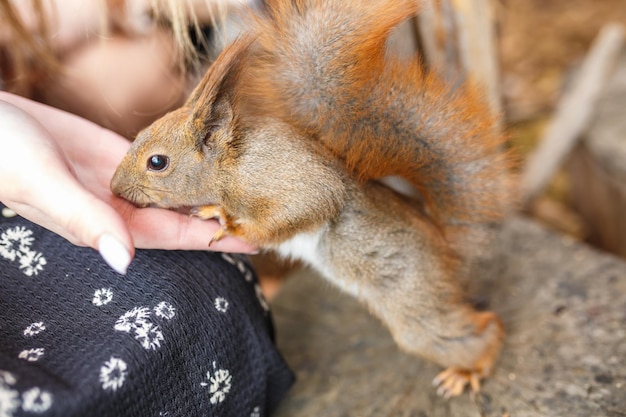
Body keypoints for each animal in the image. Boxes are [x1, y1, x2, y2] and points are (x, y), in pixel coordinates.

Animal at [109, 0, 516, 396]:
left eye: (157, 162)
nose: (114, 187)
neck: (231, 166)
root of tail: (447, 250)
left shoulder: (290, 178)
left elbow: (310, 203)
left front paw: (232, 224)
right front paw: (213, 209)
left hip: (415, 306)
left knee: (480, 328)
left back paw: (470, 368)